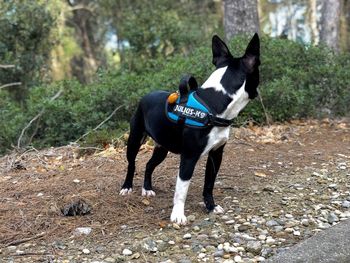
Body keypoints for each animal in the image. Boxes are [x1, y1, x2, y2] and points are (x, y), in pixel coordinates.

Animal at [120, 34, 260, 226]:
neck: (213, 105)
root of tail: (146, 95)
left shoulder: (216, 154)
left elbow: (209, 183)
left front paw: (211, 206)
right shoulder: (189, 157)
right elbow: (182, 189)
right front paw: (178, 214)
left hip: (162, 147)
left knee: (149, 165)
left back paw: (147, 188)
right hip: (135, 139)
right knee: (132, 163)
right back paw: (127, 186)